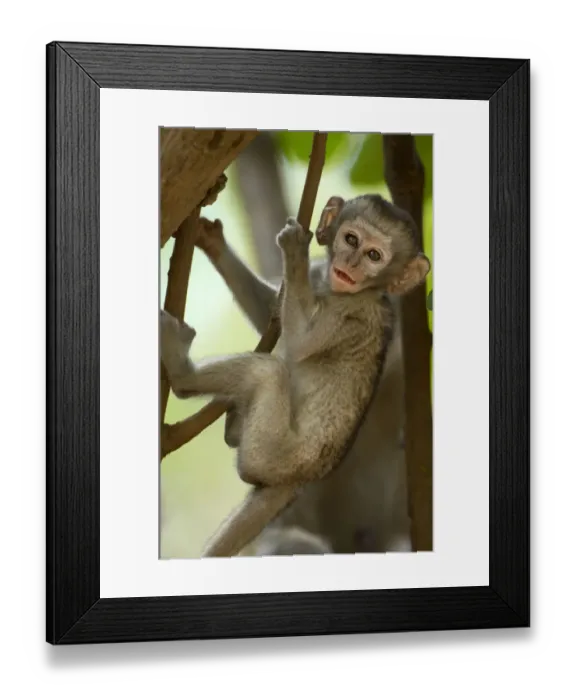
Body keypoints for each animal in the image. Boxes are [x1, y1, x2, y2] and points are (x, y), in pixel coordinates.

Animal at [160, 194, 430, 557]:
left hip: (272, 454)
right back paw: (232, 423)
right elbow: (270, 315)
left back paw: (182, 373)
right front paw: (212, 241)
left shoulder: (353, 314)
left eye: (374, 256)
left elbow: (300, 342)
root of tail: (298, 481)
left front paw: (294, 251)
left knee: (267, 372)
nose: (351, 264)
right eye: (351, 239)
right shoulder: (320, 274)